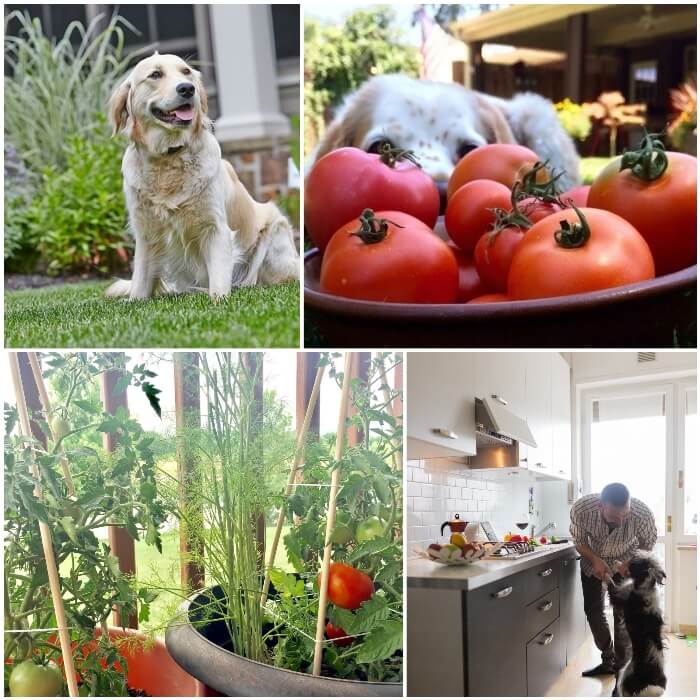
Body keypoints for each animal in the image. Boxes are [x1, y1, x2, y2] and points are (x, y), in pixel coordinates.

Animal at [106, 52, 298, 298]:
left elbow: (218, 282)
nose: (187, 89)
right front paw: (134, 300)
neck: (169, 156)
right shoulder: (146, 232)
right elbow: (140, 283)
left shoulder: (216, 227)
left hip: (275, 232)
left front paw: (219, 299)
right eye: (155, 74)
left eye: (186, 71)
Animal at [608, 552, 668, 696]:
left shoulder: (619, 597)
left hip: (625, 675)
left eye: (633, 562)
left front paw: (611, 569)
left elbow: (610, 584)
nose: (624, 561)